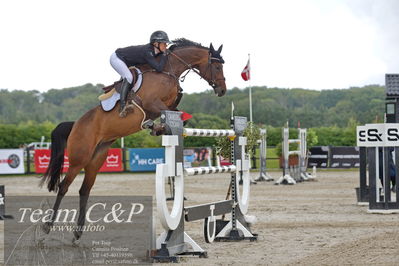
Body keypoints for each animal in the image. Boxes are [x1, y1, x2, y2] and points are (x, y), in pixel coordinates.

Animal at [41, 38, 228, 242]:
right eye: (217, 66)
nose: (222, 90)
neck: (168, 70)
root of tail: (75, 124)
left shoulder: (170, 107)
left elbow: (179, 115)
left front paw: (158, 128)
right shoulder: (153, 103)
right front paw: (155, 126)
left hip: (96, 158)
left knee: (84, 189)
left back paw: (78, 231)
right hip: (79, 158)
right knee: (63, 187)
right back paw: (48, 226)